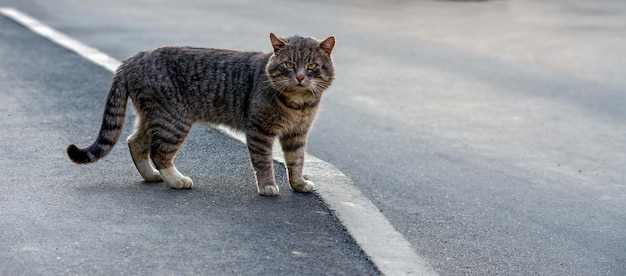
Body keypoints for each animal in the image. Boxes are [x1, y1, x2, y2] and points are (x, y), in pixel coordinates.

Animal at [66, 33, 334, 195]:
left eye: (312, 66)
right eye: (289, 65)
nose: (300, 77)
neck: (298, 104)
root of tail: (134, 58)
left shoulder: (297, 134)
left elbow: (296, 161)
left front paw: (298, 184)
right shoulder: (259, 131)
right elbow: (264, 162)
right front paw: (268, 186)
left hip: (153, 118)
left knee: (135, 142)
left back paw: (152, 176)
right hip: (173, 120)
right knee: (159, 153)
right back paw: (175, 180)